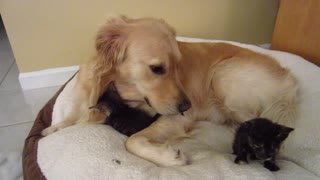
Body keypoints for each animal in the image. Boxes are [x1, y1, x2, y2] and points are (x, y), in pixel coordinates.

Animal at [41, 16, 298, 167]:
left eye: (178, 65)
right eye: (157, 69)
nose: (187, 106)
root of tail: (290, 79)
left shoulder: (172, 119)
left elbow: (132, 141)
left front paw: (170, 158)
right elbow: (74, 117)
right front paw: (52, 128)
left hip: (224, 74)